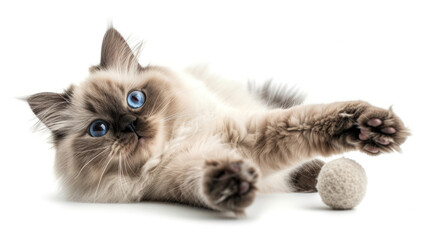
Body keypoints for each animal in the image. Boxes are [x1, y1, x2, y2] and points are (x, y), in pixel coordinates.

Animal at [26, 27, 408, 215]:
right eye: (99, 129)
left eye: (135, 99)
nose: (129, 126)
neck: (174, 145)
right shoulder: (179, 176)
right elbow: (206, 181)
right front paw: (232, 182)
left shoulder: (251, 132)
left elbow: (310, 122)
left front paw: (372, 127)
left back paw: (315, 177)